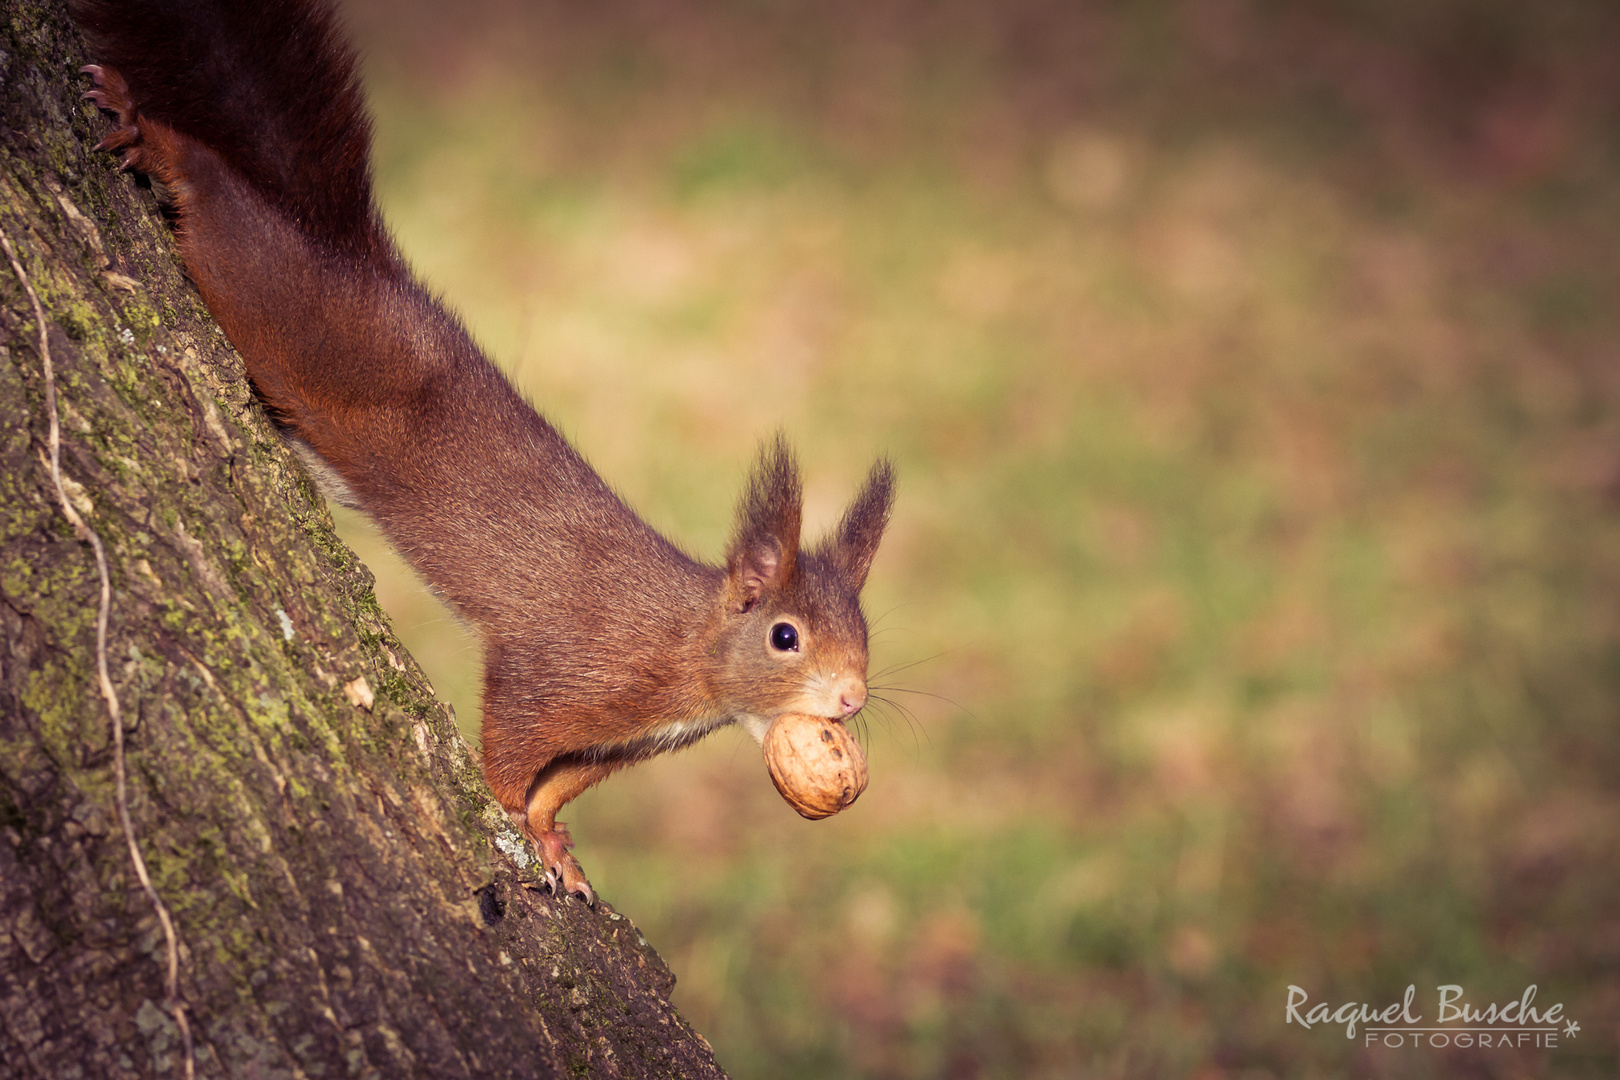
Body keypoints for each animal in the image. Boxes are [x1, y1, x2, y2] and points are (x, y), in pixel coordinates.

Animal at [72, 0, 900, 906]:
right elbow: (513, 741)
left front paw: (553, 841)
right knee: (233, 225)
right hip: (299, 321)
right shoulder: (568, 670)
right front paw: (508, 815)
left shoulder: (619, 742)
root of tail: (362, 266)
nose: (853, 697)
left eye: (864, 630)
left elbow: (558, 783)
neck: (689, 649)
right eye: (786, 637)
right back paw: (151, 136)